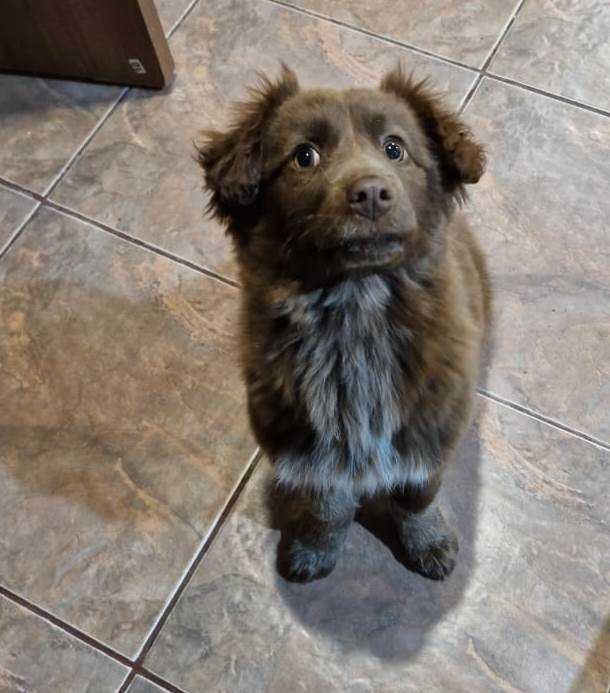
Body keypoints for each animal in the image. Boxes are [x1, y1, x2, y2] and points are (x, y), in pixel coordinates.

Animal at [198, 64, 491, 583]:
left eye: (395, 148)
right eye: (304, 156)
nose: (371, 193)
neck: (356, 310)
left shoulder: (428, 434)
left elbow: (417, 498)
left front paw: (429, 542)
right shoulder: (306, 448)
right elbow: (328, 508)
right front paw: (314, 549)